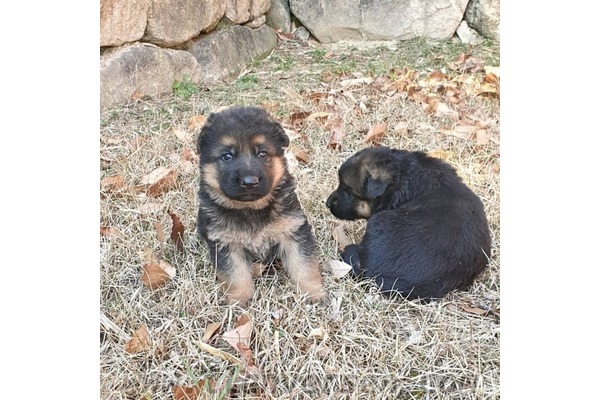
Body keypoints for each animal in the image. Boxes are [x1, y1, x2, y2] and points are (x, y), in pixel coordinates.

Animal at [196, 106, 326, 306]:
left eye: (262, 153)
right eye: (227, 156)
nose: (250, 182)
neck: (251, 208)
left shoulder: (293, 231)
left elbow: (304, 266)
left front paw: (314, 293)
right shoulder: (226, 244)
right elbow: (236, 276)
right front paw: (239, 302)